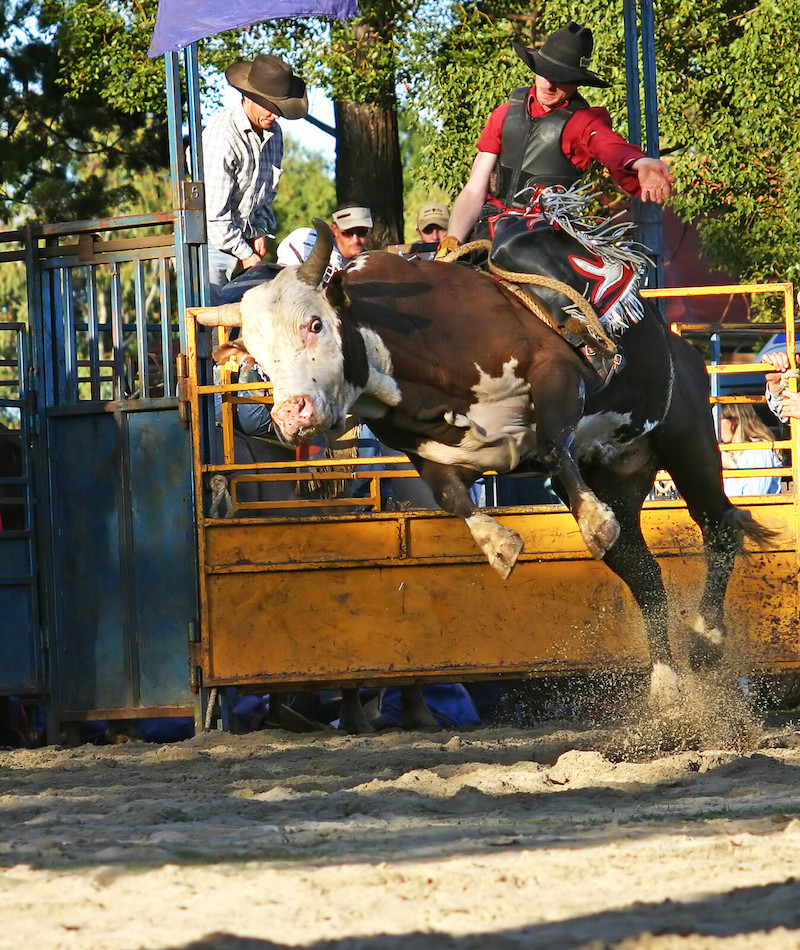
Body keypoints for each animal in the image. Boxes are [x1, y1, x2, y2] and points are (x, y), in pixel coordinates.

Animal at [197, 214, 780, 708]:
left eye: (315, 324)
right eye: (257, 354)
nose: (291, 414)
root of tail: (683, 348)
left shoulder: (556, 372)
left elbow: (552, 441)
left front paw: (590, 522)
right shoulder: (429, 452)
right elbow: (452, 495)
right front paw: (500, 544)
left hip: (687, 437)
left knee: (719, 526)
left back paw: (705, 640)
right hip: (620, 472)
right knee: (642, 570)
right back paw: (665, 685)